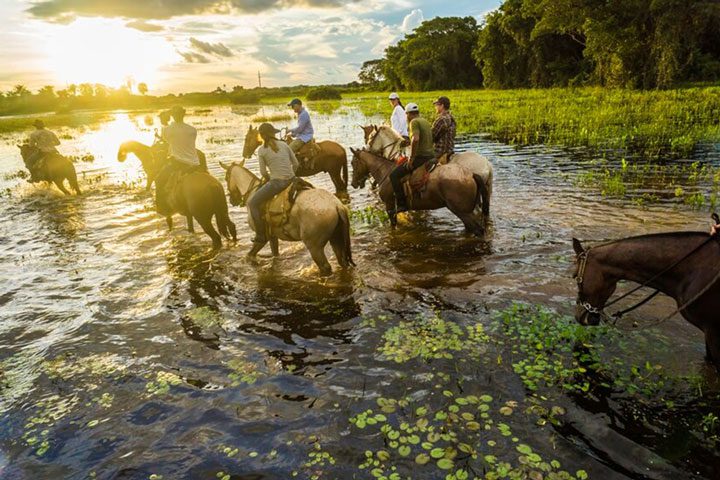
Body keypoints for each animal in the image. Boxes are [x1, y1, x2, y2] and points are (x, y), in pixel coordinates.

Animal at [219, 160, 354, 276]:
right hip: (336, 239)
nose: (232, 200)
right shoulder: (272, 236)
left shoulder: (262, 237)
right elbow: (275, 253)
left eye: (226, 178)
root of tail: (337, 205)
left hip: (315, 247)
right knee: (342, 261)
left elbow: (250, 255)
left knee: (325, 267)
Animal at [348, 148, 490, 234]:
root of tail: (471, 175)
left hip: (462, 211)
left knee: (478, 230)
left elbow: (393, 225)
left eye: (353, 163)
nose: (353, 184)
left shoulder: (390, 206)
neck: (385, 172)